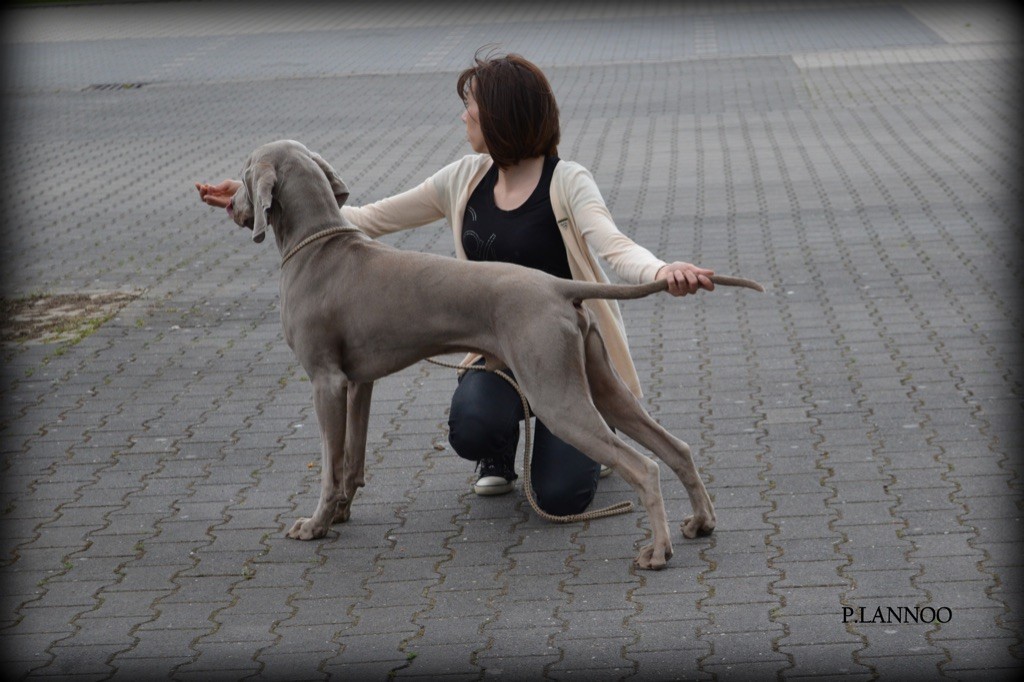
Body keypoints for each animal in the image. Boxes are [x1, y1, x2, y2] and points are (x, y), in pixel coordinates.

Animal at [230, 139, 761, 569]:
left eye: (243, 172)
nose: (232, 202)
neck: (317, 245)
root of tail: (557, 285)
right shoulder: (360, 382)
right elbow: (351, 461)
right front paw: (340, 513)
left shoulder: (326, 381)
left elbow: (328, 463)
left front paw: (315, 524)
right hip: (600, 383)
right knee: (676, 448)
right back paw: (701, 522)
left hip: (555, 395)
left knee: (644, 467)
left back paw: (658, 551)